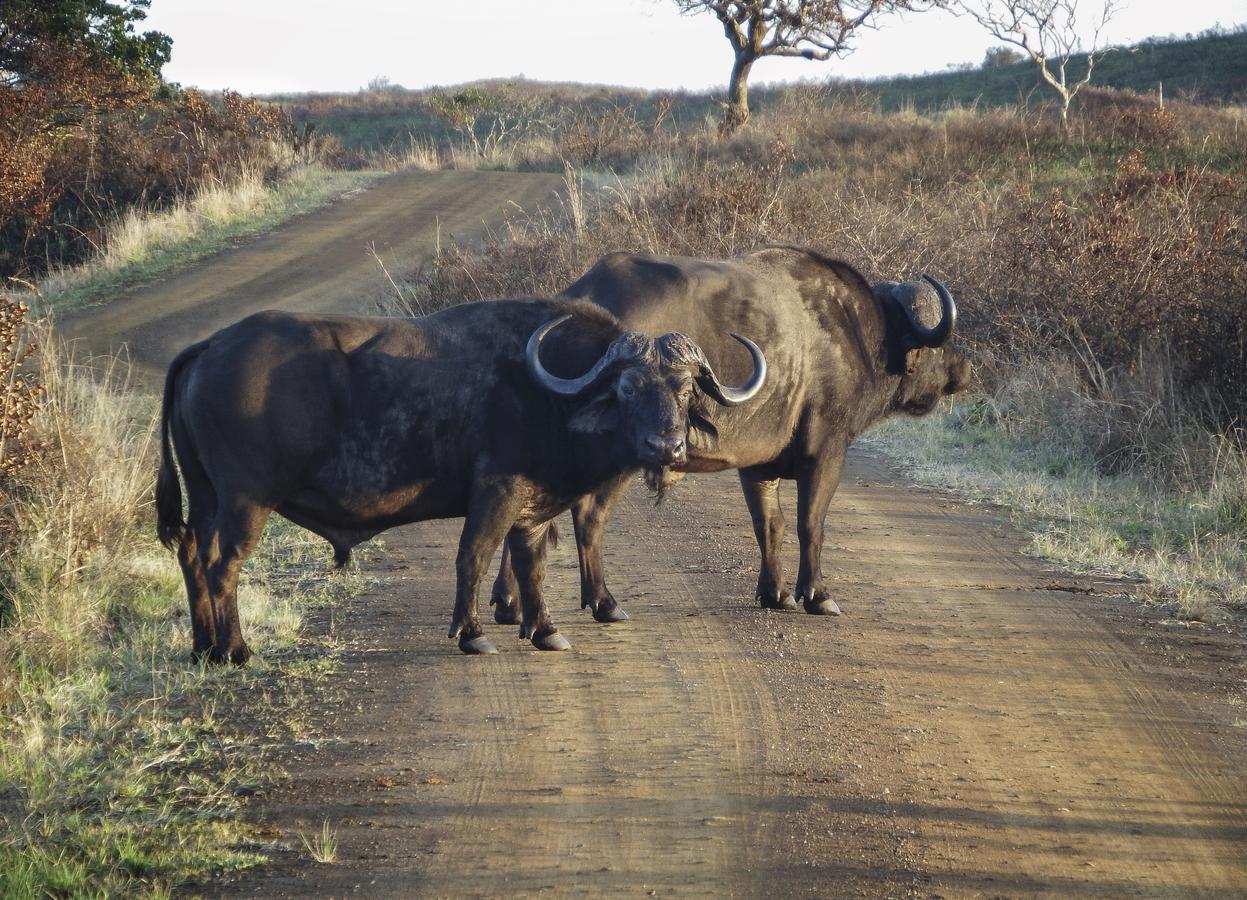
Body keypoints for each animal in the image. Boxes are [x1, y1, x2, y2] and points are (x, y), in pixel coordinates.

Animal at [154, 297, 758, 663]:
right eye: (628, 387)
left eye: (684, 389)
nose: (666, 447)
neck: (547, 391)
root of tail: (208, 347)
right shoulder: (496, 493)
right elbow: (475, 556)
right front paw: (472, 634)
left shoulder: (532, 508)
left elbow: (531, 566)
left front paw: (544, 631)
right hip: (245, 500)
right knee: (221, 562)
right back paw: (235, 649)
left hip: (206, 496)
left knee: (191, 553)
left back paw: (204, 648)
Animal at [491, 245, 967, 623]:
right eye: (941, 346)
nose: (961, 370)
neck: (855, 333)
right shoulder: (826, 453)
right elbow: (810, 523)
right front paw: (816, 595)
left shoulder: (758, 465)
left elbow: (769, 525)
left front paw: (775, 593)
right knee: (588, 516)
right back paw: (603, 602)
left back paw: (510, 605)